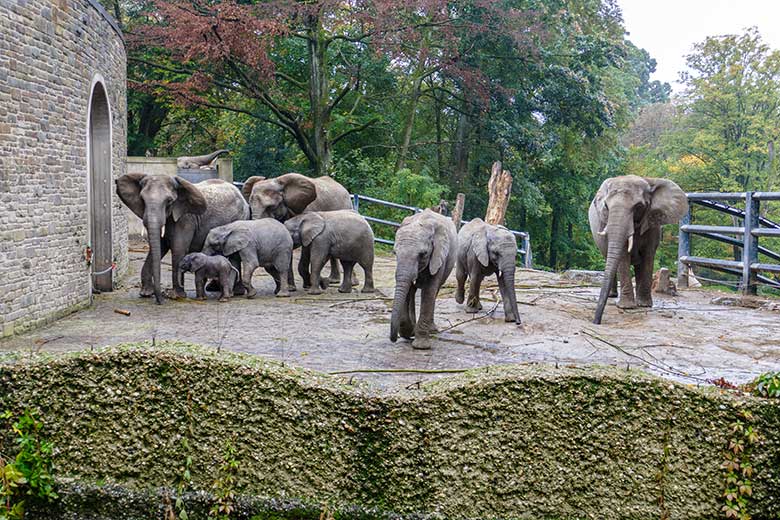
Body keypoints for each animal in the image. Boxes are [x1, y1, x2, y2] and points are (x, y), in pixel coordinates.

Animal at [117, 175, 250, 304]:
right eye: (142, 200)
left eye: (169, 201)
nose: (161, 301)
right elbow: (160, 247)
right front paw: (145, 294)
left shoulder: (185, 218)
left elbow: (178, 249)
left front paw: (175, 296)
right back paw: (215, 289)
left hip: (241, 218)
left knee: (235, 256)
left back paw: (236, 292)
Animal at [388, 209, 458, 352]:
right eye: (395, 253)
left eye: (423, 254)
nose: (393, 339)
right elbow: (408, 289)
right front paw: (408, 333)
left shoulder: (438, 256)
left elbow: (429, 291)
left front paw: (421, 346)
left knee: (435, 291)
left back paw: (432, 330)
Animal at [588, 175, 684, 322]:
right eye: (606, 206)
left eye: (638, 206)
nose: (596, 322)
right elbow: (623, 257)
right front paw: (627, 307)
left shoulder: (652, 223)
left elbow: (648, 256)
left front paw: (644, 305)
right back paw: (612, 296)